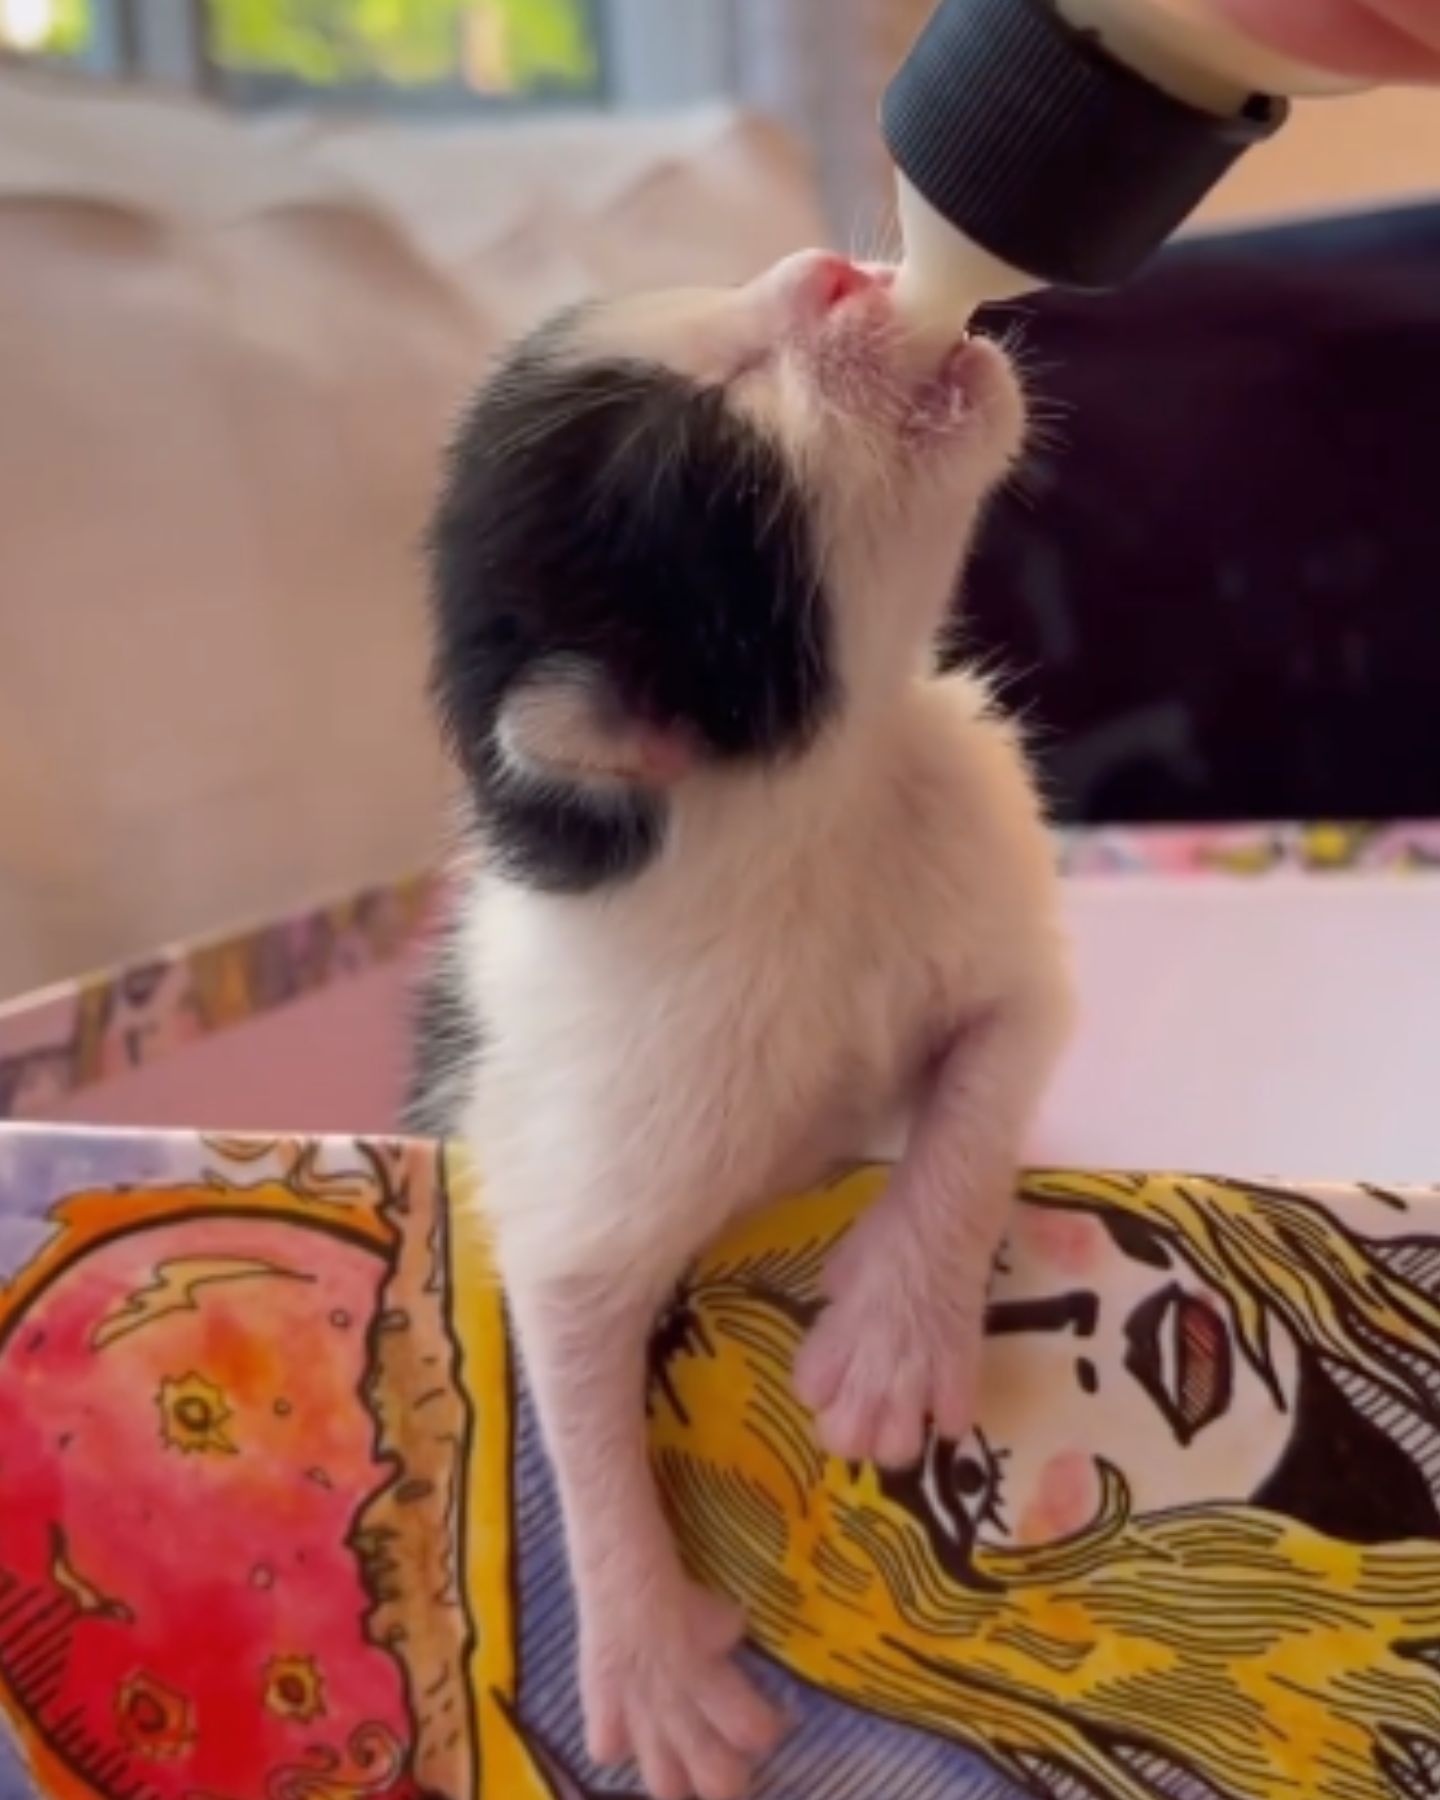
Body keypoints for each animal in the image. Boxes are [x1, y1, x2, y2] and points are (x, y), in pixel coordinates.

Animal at [405, 253, 1065, 1800]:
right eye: (724, 435)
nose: (835, 267)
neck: (809, 820)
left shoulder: (969, 816)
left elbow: (996, 1053)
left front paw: (893, 1326)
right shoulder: (592, 1112)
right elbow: (568, 1316)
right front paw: (646, 1649)